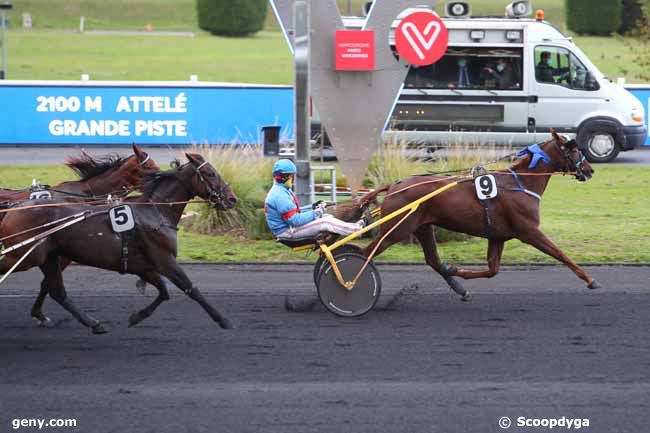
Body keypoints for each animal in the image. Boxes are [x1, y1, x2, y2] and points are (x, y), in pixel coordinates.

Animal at [0, 154, 238, 332]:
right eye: (210, 173)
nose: (232, 198)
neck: (154, 212)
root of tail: (14, 207)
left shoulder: (144, 266)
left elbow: (163, 292)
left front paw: (137, 316)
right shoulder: (164, 260)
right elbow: (191, 289)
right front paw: (223, 320)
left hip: (47, 256)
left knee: (57, 291)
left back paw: (94, 324)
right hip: (25, 255)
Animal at [360, 131, 596, 300]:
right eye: (575, 150)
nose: (590, 170)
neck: (521, 182)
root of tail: (394, 185)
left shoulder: (498, 236)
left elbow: (492, 270)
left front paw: (455, 270)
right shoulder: (529, 231)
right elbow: (561, 254)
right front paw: (590, 279)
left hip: (422, 227)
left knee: (433, 260)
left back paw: (458, 287)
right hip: (396, 230)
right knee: (365, 254)